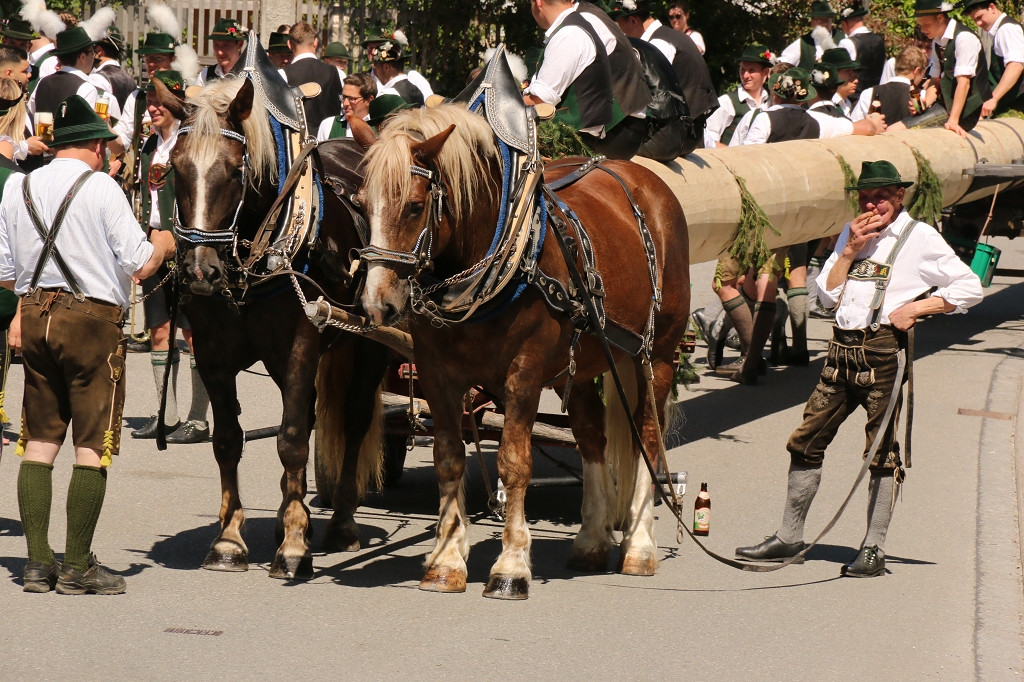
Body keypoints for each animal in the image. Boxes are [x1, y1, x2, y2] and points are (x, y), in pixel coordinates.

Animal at [154, 75, 389, 580]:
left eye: (233, 171)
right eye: (175, 170)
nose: (199, 271)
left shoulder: (301, 347)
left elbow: (293, 440)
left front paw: (296, 548)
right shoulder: (213, 353)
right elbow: (228, 440)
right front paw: (228, 540)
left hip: (370, 345)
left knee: (354, 418)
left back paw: (340, 523)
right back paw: (287, 518)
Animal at [356, 104, 691, 599]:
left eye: (415, 206)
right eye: (361, 204)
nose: (378, 304)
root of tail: (638, 174)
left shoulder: (523, 377)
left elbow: (514, 464)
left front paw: (511, 566)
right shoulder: (437, 375)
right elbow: (448, 459)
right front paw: (446, 560)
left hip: (656, 355)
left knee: (647, 435)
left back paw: (639, 546)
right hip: (584, 360)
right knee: (591, 435)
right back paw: (592, 540)